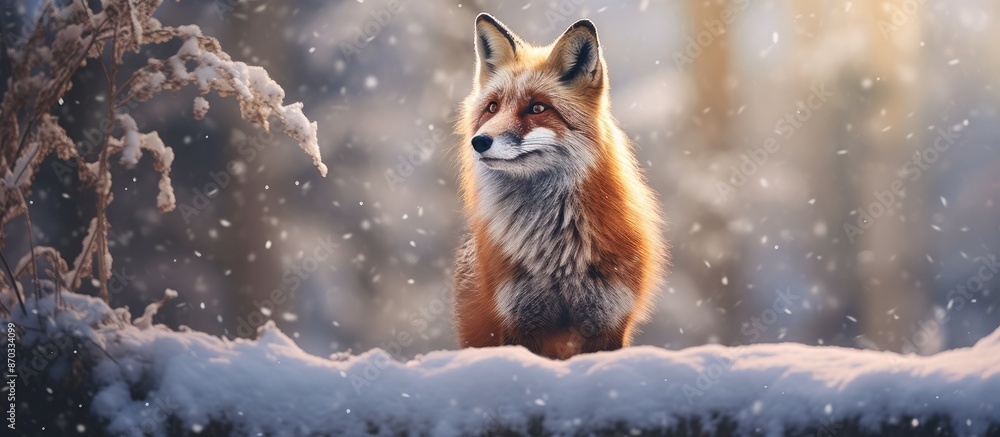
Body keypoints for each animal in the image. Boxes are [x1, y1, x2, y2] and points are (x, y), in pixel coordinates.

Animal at [452, 13, 667, 360]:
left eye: (538, 108)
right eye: (492, 107)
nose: (479, 142)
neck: (557, 253)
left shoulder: (607, 320)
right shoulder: (518, 318)